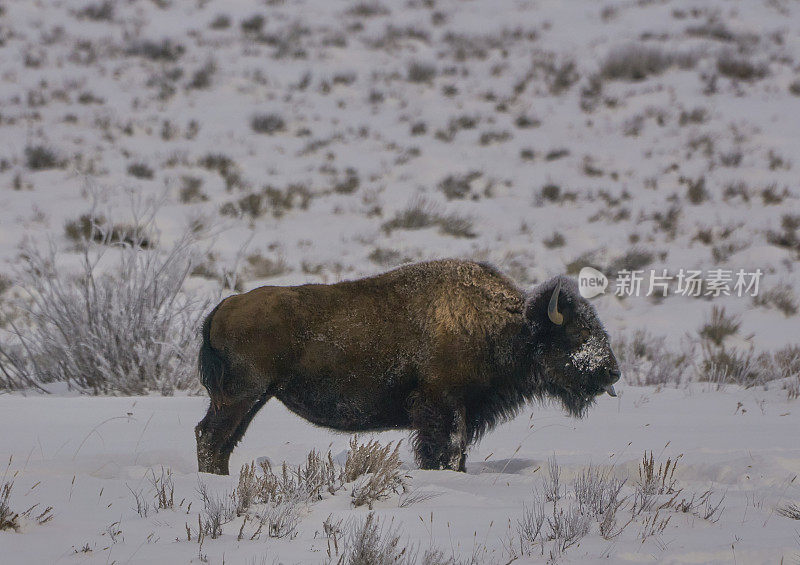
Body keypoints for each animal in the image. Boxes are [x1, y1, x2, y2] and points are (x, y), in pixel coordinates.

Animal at [194, 260, 620, 476]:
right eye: (578, 332)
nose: (611, 372)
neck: (505, 325)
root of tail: (224, 306)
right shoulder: (443, 407)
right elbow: (445, 451)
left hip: (252, 398)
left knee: (222, 440)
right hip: (241, 395)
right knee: (210, 436)